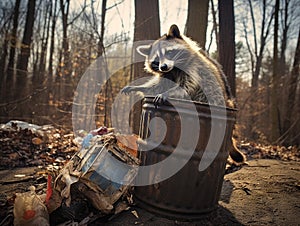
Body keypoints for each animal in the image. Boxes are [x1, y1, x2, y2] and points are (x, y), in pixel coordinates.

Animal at [122, 24, 246, 164]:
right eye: (156, 61)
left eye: (169, 52)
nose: (163, 67)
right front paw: (140, 87)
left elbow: (185, 88)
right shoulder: (167, 75)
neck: (174, 68)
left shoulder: (193, 69)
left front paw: (167, 93)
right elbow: (157, 86)